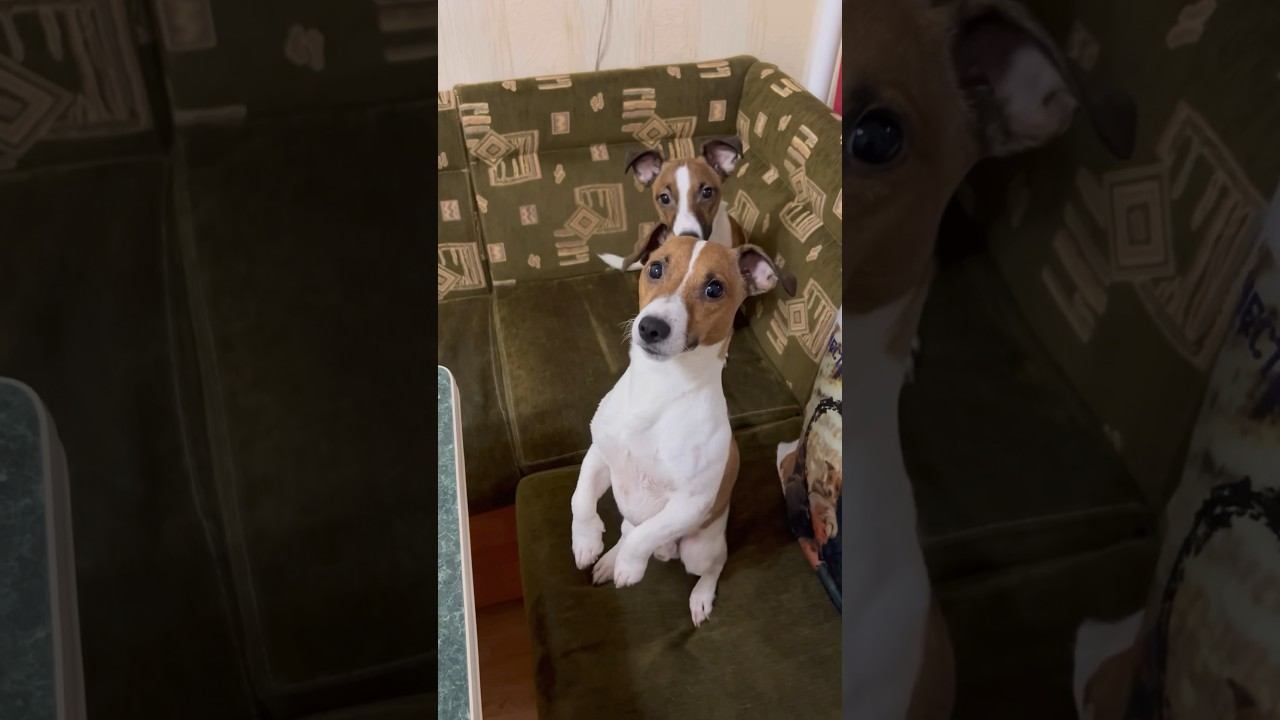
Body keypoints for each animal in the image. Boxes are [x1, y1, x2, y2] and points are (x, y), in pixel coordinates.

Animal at [570, 228, 795, 626]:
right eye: (656, 269)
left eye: (714, 289)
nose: (651, 327)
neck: (659, 389)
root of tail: (669, 554)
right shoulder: (599, 455)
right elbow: (579, 498)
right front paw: (587, 542)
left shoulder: (690, 503)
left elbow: (646, 535)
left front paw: (629, 566)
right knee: (627, 529)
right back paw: (609, 558)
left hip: (699, 550)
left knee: (713, 565)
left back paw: (699, 596)